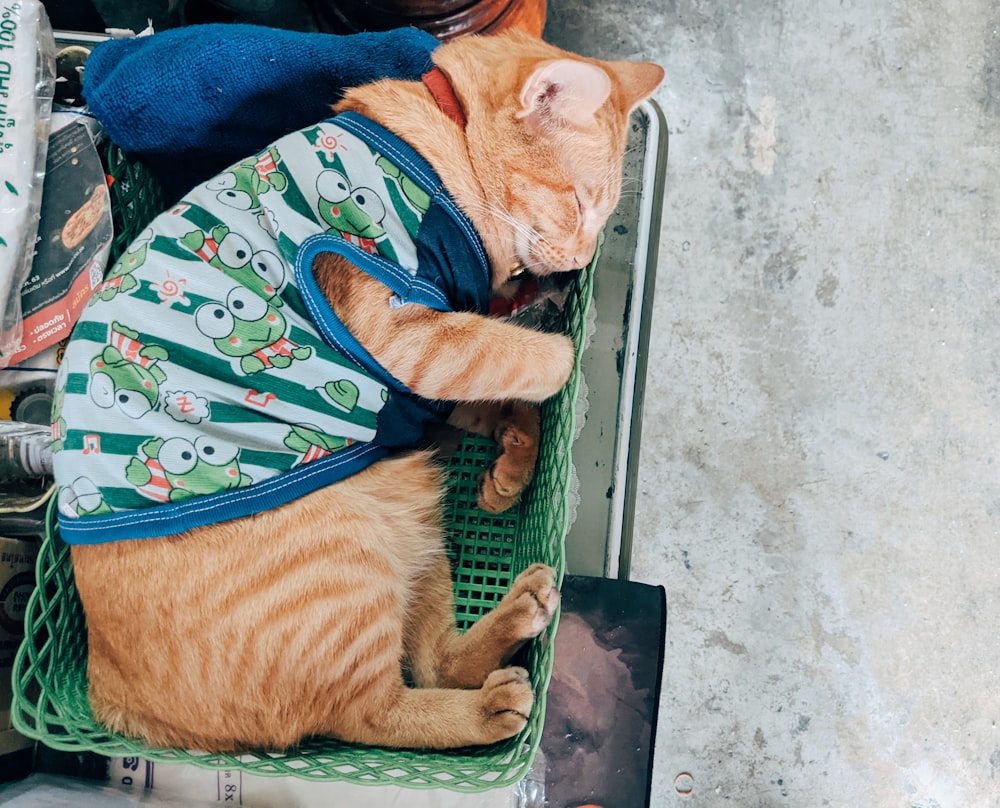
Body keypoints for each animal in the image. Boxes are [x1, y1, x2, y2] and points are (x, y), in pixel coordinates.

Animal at [72, 31, 664, 752]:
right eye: (579, 202)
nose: (582, 263)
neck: (441, 150)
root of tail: (108, 695)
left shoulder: (419, 386)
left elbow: (497, 389)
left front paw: (511, 463)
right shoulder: (408, 341)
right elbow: (530, 356)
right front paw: (558, 350)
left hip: (415, 516)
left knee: (434, 661)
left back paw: (518, 613)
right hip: (347, 569)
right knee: (376, 710)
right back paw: (491, 707)